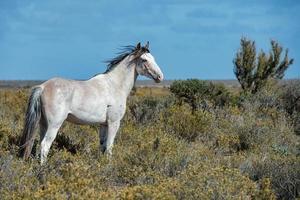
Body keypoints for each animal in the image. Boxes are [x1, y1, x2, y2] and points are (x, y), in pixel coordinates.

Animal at [18, 42, 164, 164]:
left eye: (153, 58)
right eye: (144, 59)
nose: (160, 77)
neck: (114, 85)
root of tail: (42, 87)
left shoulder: (103, 125)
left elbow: (103, 146)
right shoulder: (114, 123)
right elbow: (109, 147)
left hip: (43, 124)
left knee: (39, 145)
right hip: (54, 124)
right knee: (44, 146)